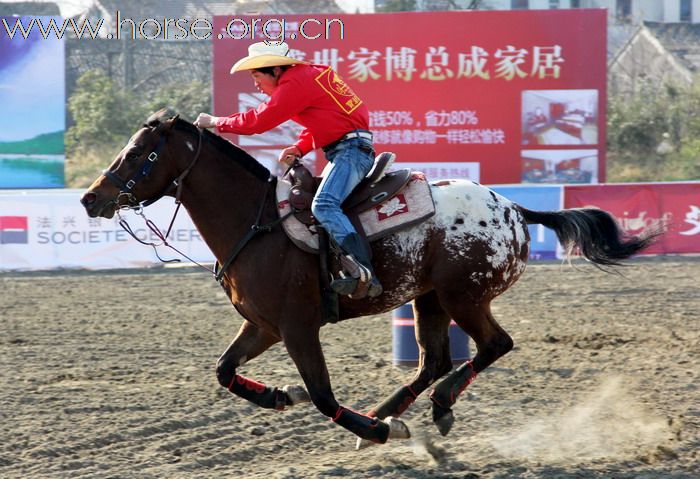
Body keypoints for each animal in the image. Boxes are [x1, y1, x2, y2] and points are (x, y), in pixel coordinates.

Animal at [79, 112, 660, 446]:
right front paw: (281, 397)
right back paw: (401, 408)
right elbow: (224, 371)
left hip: (464, 297)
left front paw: (376, 431)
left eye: (141, 152)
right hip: (429, 300)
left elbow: (322, 394)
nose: (89, 198)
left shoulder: (298, 328)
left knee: (493, 345)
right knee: (435, 360)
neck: (257, 223)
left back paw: (427, 409)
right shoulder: (263, 325)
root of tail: (515, 209)